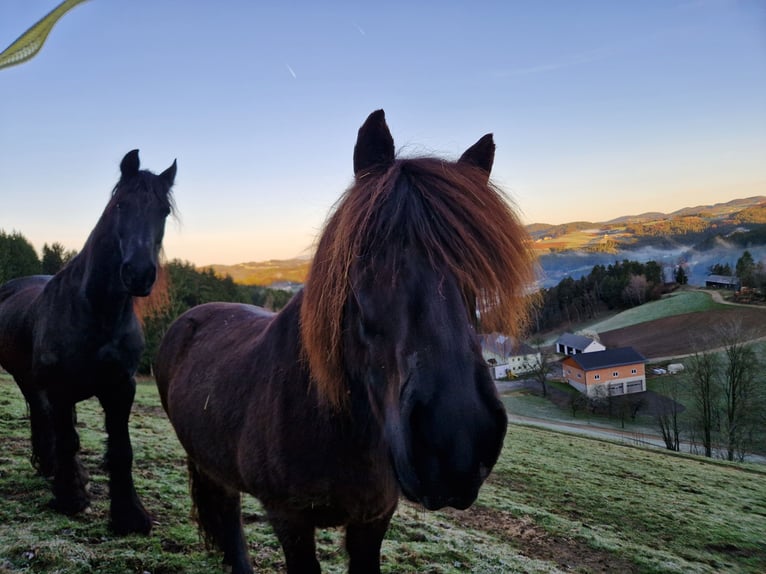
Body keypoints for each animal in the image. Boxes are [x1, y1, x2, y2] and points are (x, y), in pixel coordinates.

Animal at [0, 150, 177, 536]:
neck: (96, 311)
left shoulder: (121, 387)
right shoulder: (59, 388)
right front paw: (71, 499)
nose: (139, 274)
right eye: (120, 204)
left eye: (164, 211)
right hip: (28, 378)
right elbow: (68, 439)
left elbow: (122, 450)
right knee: (44, 417)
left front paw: (130, 516)